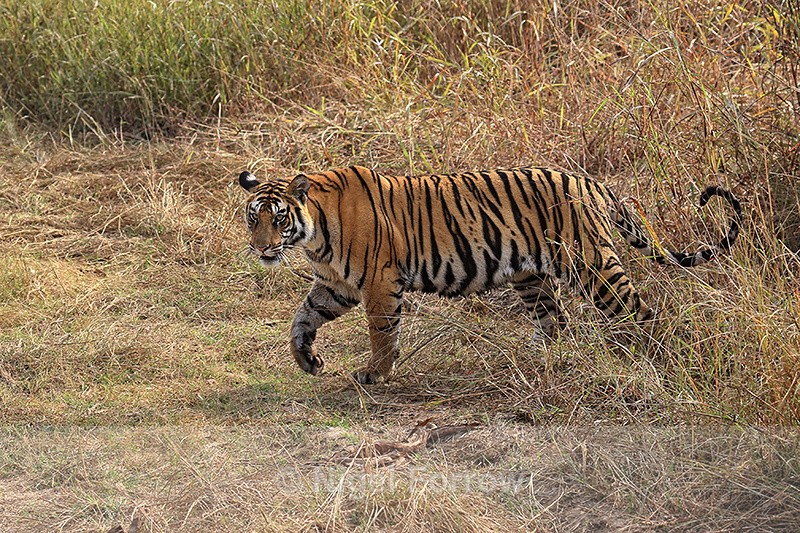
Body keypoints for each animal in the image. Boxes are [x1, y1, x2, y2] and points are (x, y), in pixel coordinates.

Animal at [238, 165, 741, 384]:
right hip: (532, 277)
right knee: (556, 321)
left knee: (642, 312)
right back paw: (535, 359)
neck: (314, 234)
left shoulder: (379, 283)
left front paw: (374, 373)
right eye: (252, 216)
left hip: (593, 265)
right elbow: (301, 320)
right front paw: (307, 360)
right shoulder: (336, 286)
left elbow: (382, 333)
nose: (261, 248)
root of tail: (592, 181)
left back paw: (656, 361)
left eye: (278, 218)